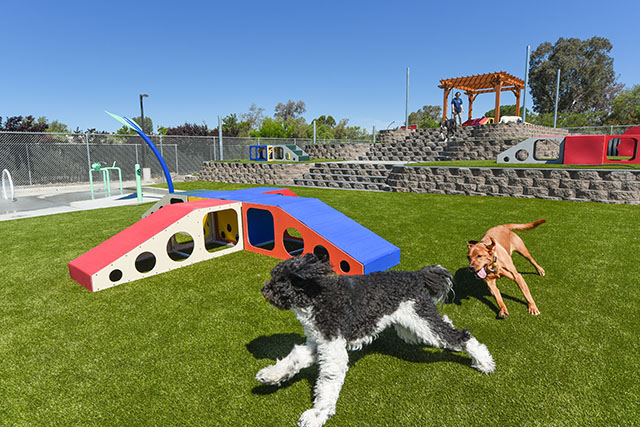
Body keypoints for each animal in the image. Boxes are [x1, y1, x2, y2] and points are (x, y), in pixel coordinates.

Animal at [255, 254, 496, 427]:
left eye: (281, 281)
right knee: (446, 323)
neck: (316, 297)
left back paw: (484, 362)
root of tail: (415, 275)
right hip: (413, 325)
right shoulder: (319, 343)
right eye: (273, 276)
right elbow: (295, 357)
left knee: (461, 335)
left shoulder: (334, 350)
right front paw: (271, 375)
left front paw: (316, 415)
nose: (263, 289)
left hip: (422, 324)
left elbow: (327, 382)